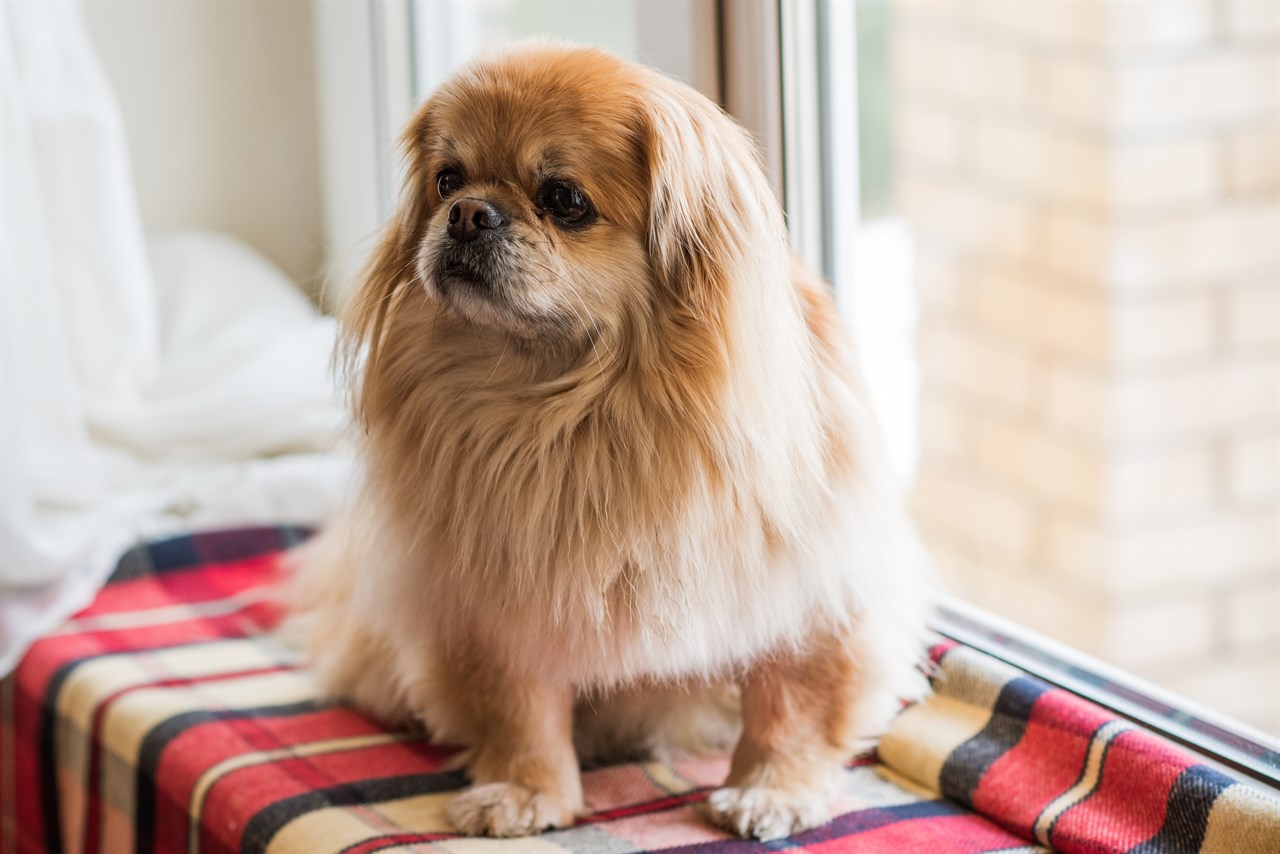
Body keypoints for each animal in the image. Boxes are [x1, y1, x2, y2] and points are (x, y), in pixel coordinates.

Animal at [288, 41, 931, 839]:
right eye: (447, 180)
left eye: (565, 200)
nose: (468, 212)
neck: (573, 411)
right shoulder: (496, 603)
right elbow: (518, 708)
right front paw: (525, 792)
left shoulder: (810, 587)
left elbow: (792, 703)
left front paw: (772, 791)